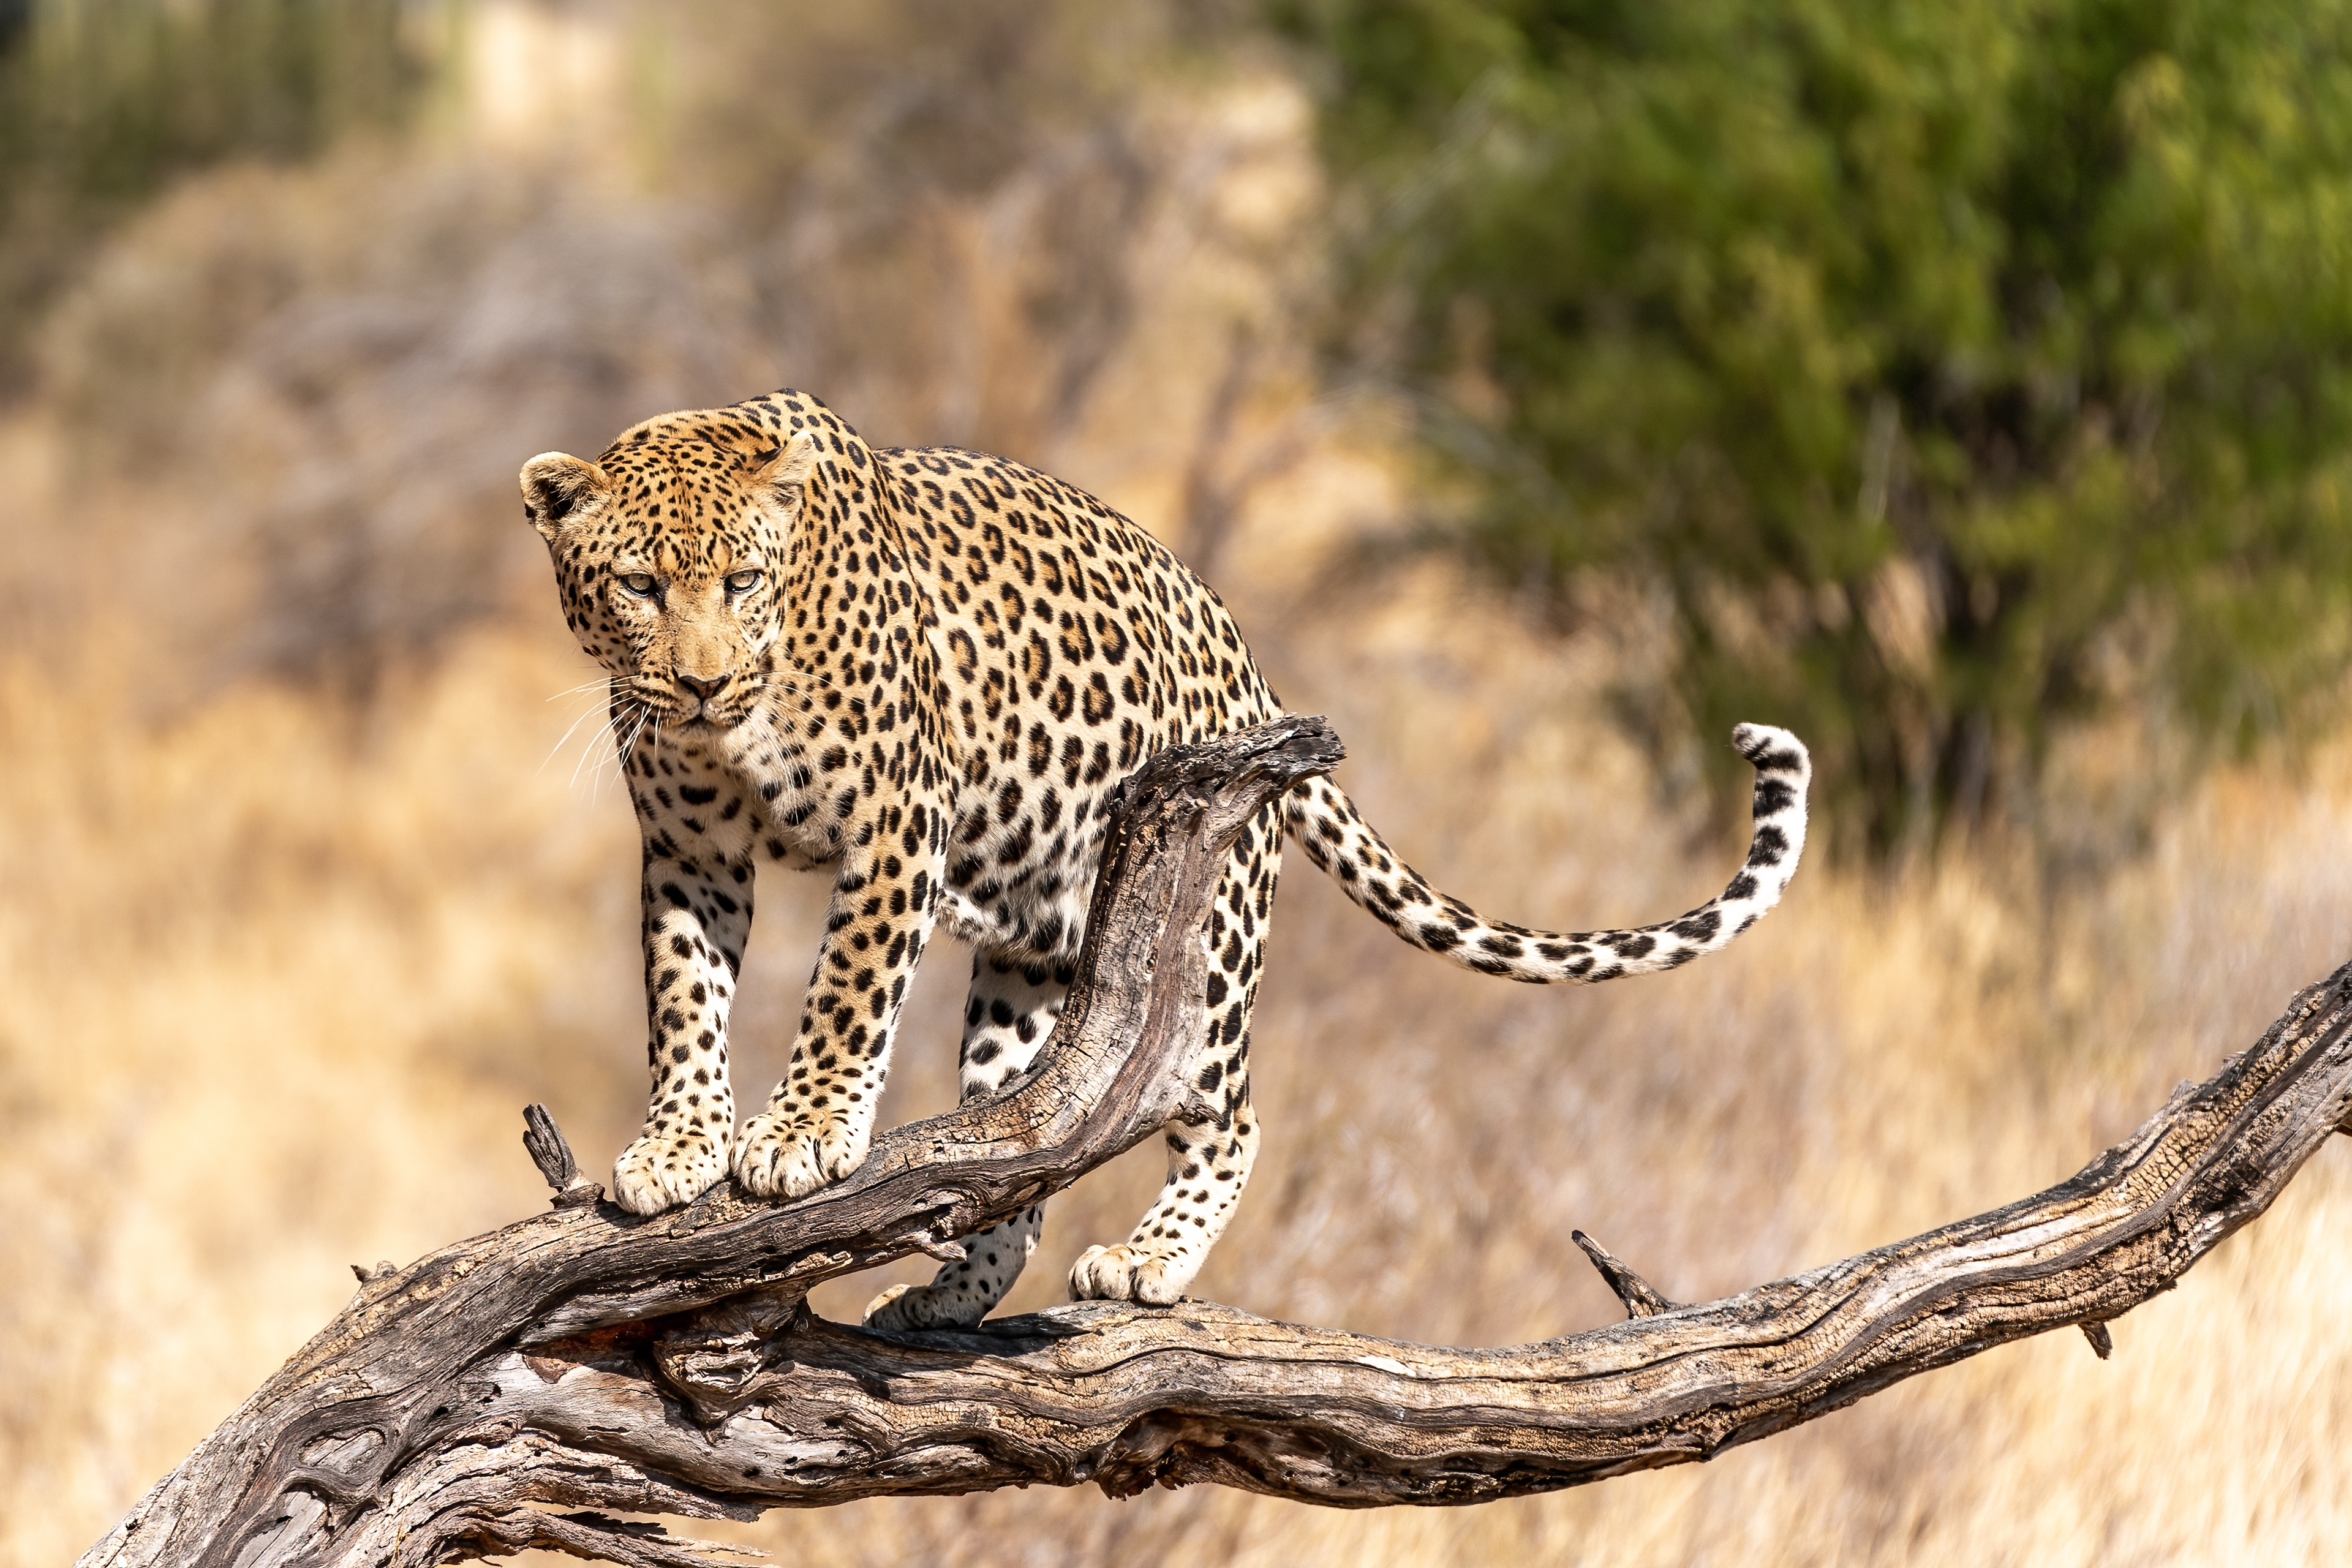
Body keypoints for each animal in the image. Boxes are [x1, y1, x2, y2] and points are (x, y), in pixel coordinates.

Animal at [519, 386, 1811, 1331]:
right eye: (639, 586)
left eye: (742, 579)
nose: (701, 683)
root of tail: (1250, 664)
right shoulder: (689, 854)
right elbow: (684, 999)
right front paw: (677, 1147)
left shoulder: (896, 822)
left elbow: (845, 987)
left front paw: (797, 1136)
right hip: (1037, 967)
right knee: (1015, 1157)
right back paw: (949, 1292)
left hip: (1215, 930)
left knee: (1233, 1114)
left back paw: (1147, 1261)